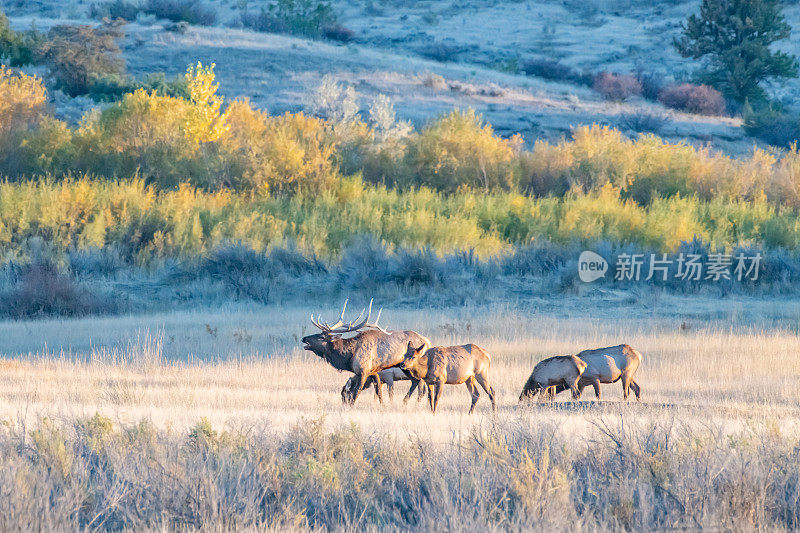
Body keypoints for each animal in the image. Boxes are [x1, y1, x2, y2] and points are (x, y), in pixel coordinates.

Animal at [302, 300, 432, 404]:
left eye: (321, 337)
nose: (304, 338)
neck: (349, 356)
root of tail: (428, 342)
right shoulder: (374, 372)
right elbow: (378, 391)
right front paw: (382, 405)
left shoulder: (364, 371)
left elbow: (357, 392)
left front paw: (351, 406)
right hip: (405, 367)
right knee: (415, 381)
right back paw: (405, 401)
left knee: (420, 384)